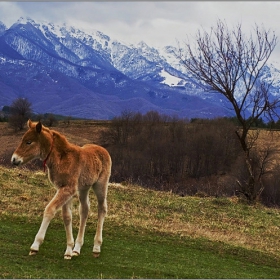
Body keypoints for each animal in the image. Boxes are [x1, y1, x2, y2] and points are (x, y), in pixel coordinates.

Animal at [11, 119, 111, 260]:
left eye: (28, 142)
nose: (14, 159)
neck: (62, 158)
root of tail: (103, 150)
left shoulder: (68, 189)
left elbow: (50, 210)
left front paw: (35, 246)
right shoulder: (63, 189)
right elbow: (67, 216)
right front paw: (69, 250)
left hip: (100, 185)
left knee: (102, 208)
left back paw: (96, 248)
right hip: (83, 188)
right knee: (84, 210)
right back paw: (77, 249)